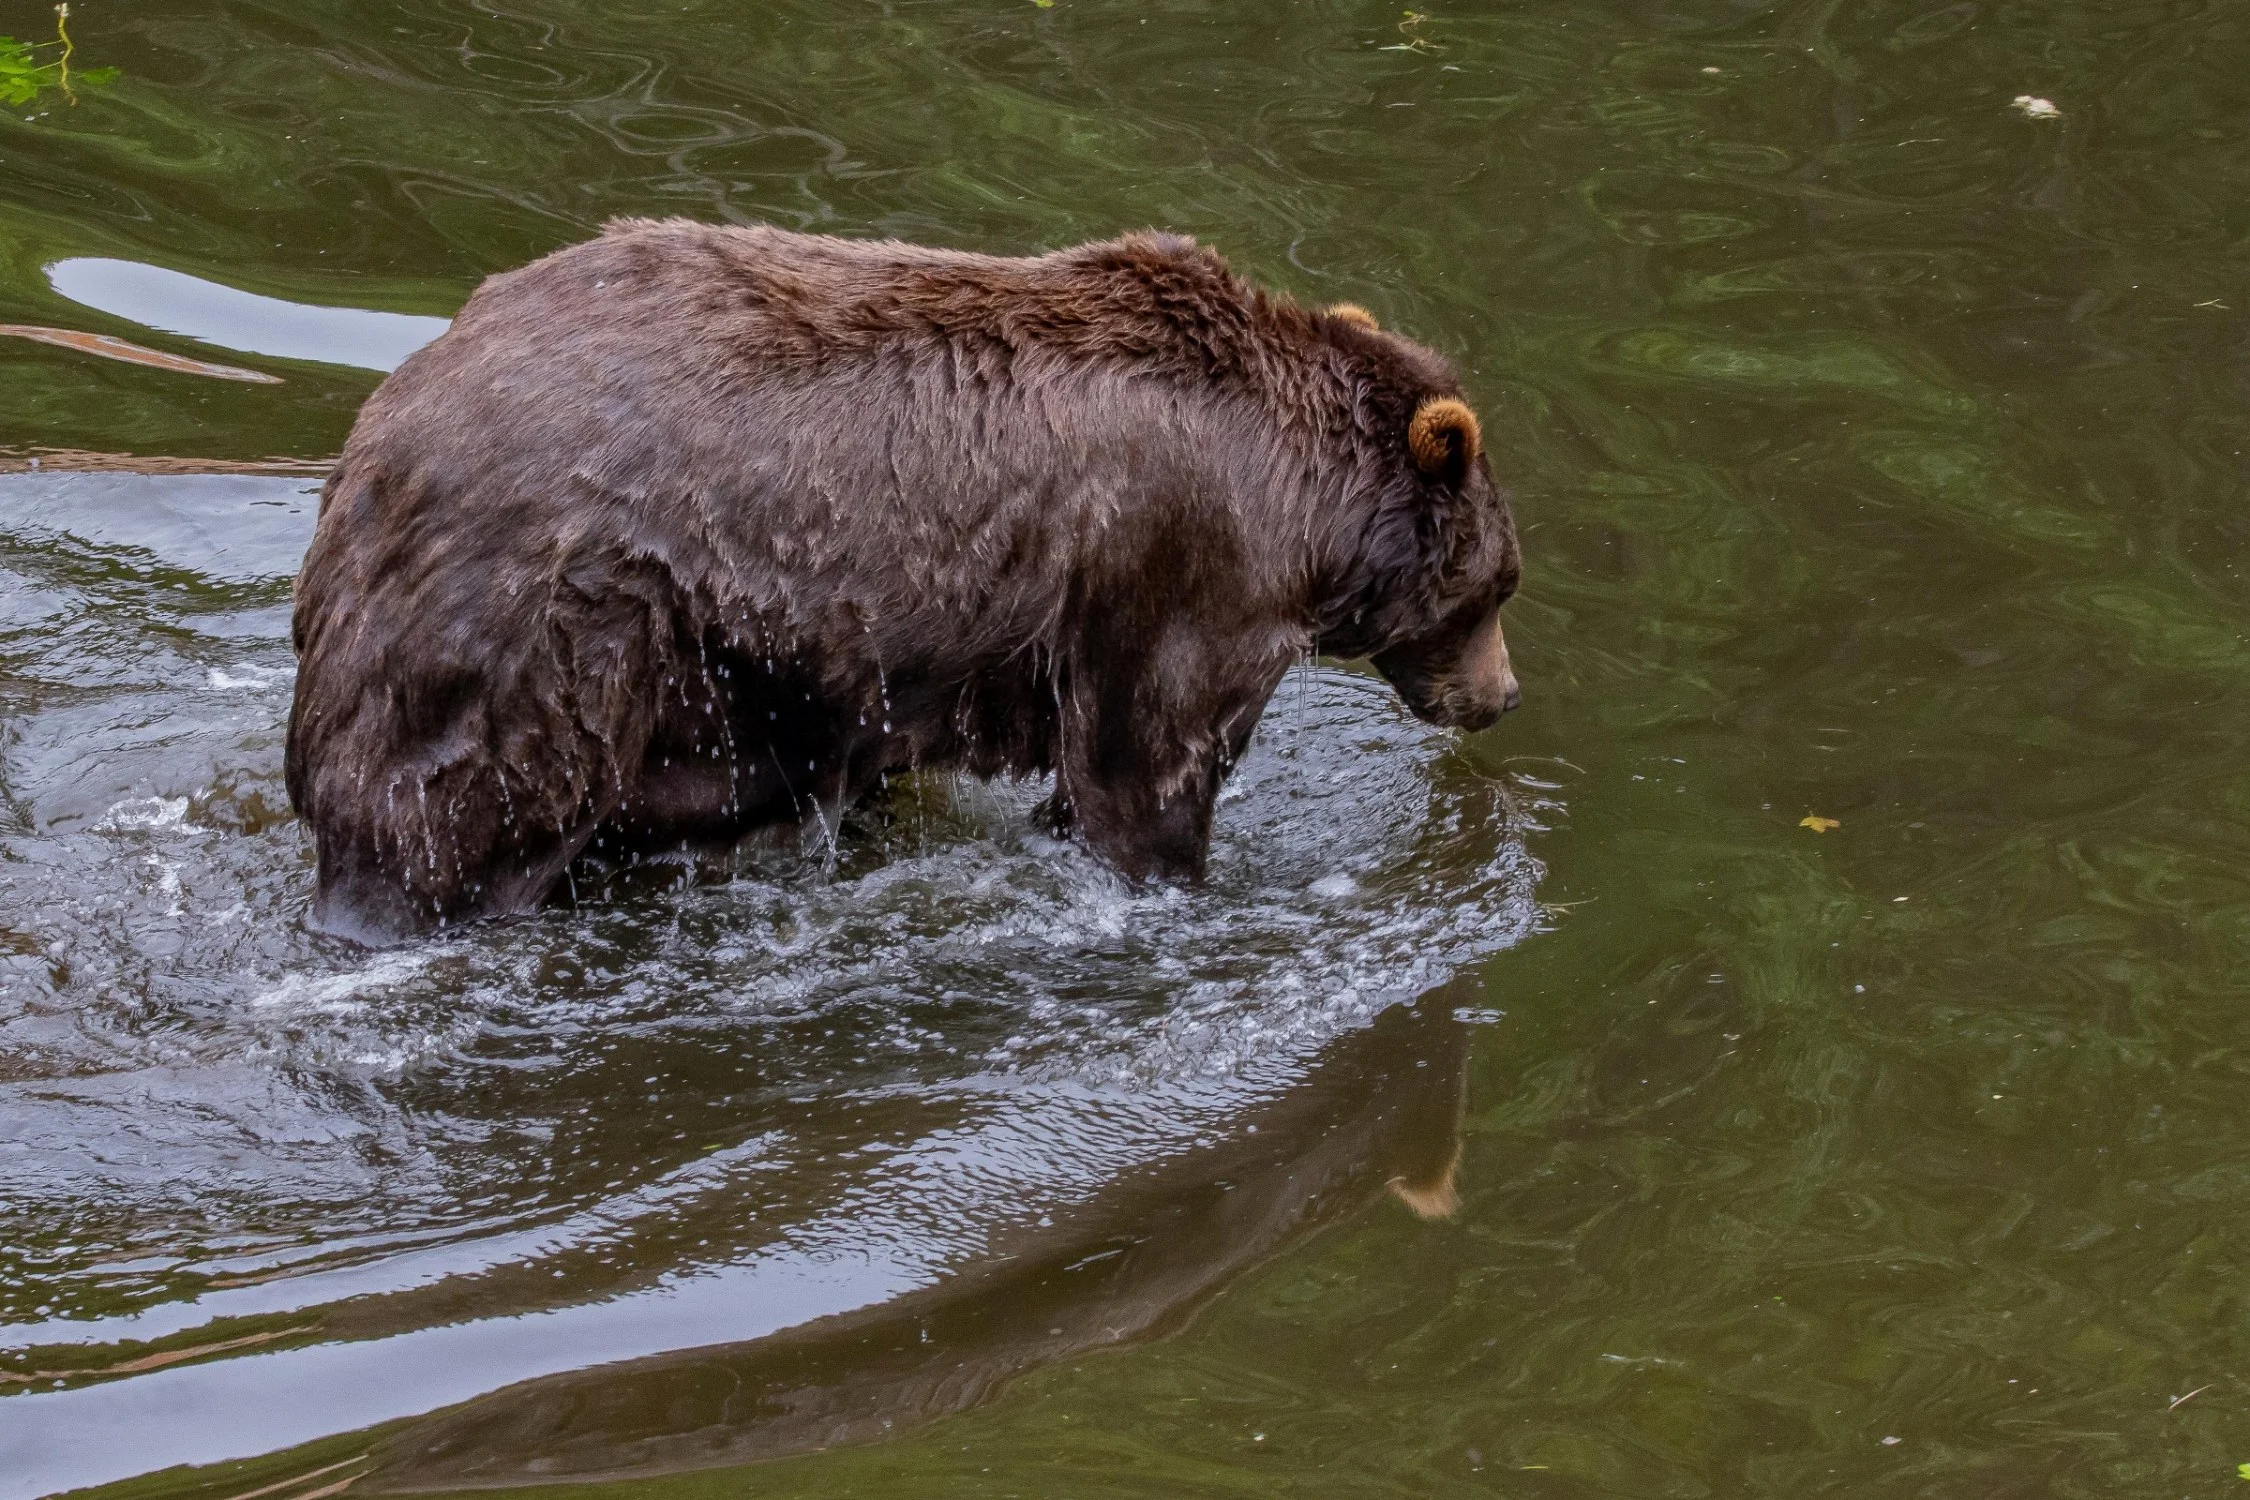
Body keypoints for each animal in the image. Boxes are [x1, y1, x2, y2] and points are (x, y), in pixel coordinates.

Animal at [285, 218, 1522, 941]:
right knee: (457, 815)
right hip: (548, 626)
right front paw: (1178, 879)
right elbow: (1148, 762)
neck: (1307, 512)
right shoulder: (1180, 566)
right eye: (1499, 588)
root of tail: (368, 441)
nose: (1502, 696)